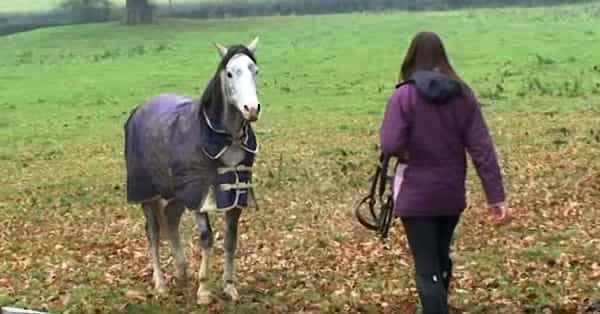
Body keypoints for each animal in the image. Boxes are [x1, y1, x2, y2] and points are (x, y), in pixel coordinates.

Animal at [123, 37, 260, 304]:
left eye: (255, 71)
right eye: (229, 73)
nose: (251, 108)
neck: (225, 139)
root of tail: (139, 109)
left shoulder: (235, 197)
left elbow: (231, 239)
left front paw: (229, 287)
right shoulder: (200, 196)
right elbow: (207, 238)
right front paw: (204, 290)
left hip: (176, 194)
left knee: (171, 219)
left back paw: (182, 271)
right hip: (148, 194)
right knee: (153, 232)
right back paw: (161, 284)